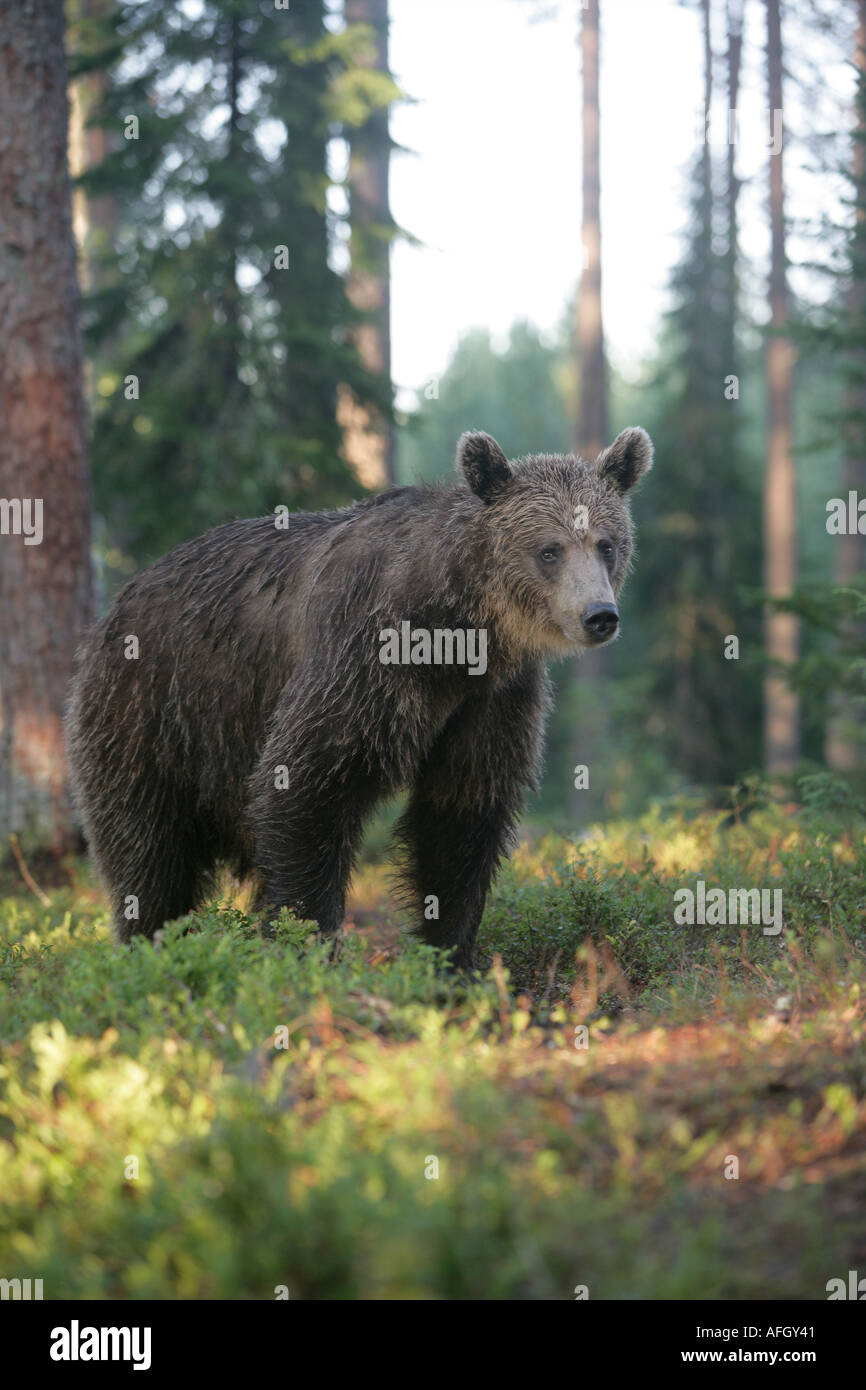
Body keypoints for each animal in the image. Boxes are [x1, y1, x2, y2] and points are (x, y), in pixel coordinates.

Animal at [66, 422, 650, 967]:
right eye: (549, 550)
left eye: (607, 543)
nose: (599, 615)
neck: (457, 633)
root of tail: (116, 605)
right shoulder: (364, 659)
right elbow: (305, 788)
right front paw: (308, 945)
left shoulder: (491, 696)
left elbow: (461, 813)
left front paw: (452, 957)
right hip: (154, 713)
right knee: (147, 851)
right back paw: (154, 945)